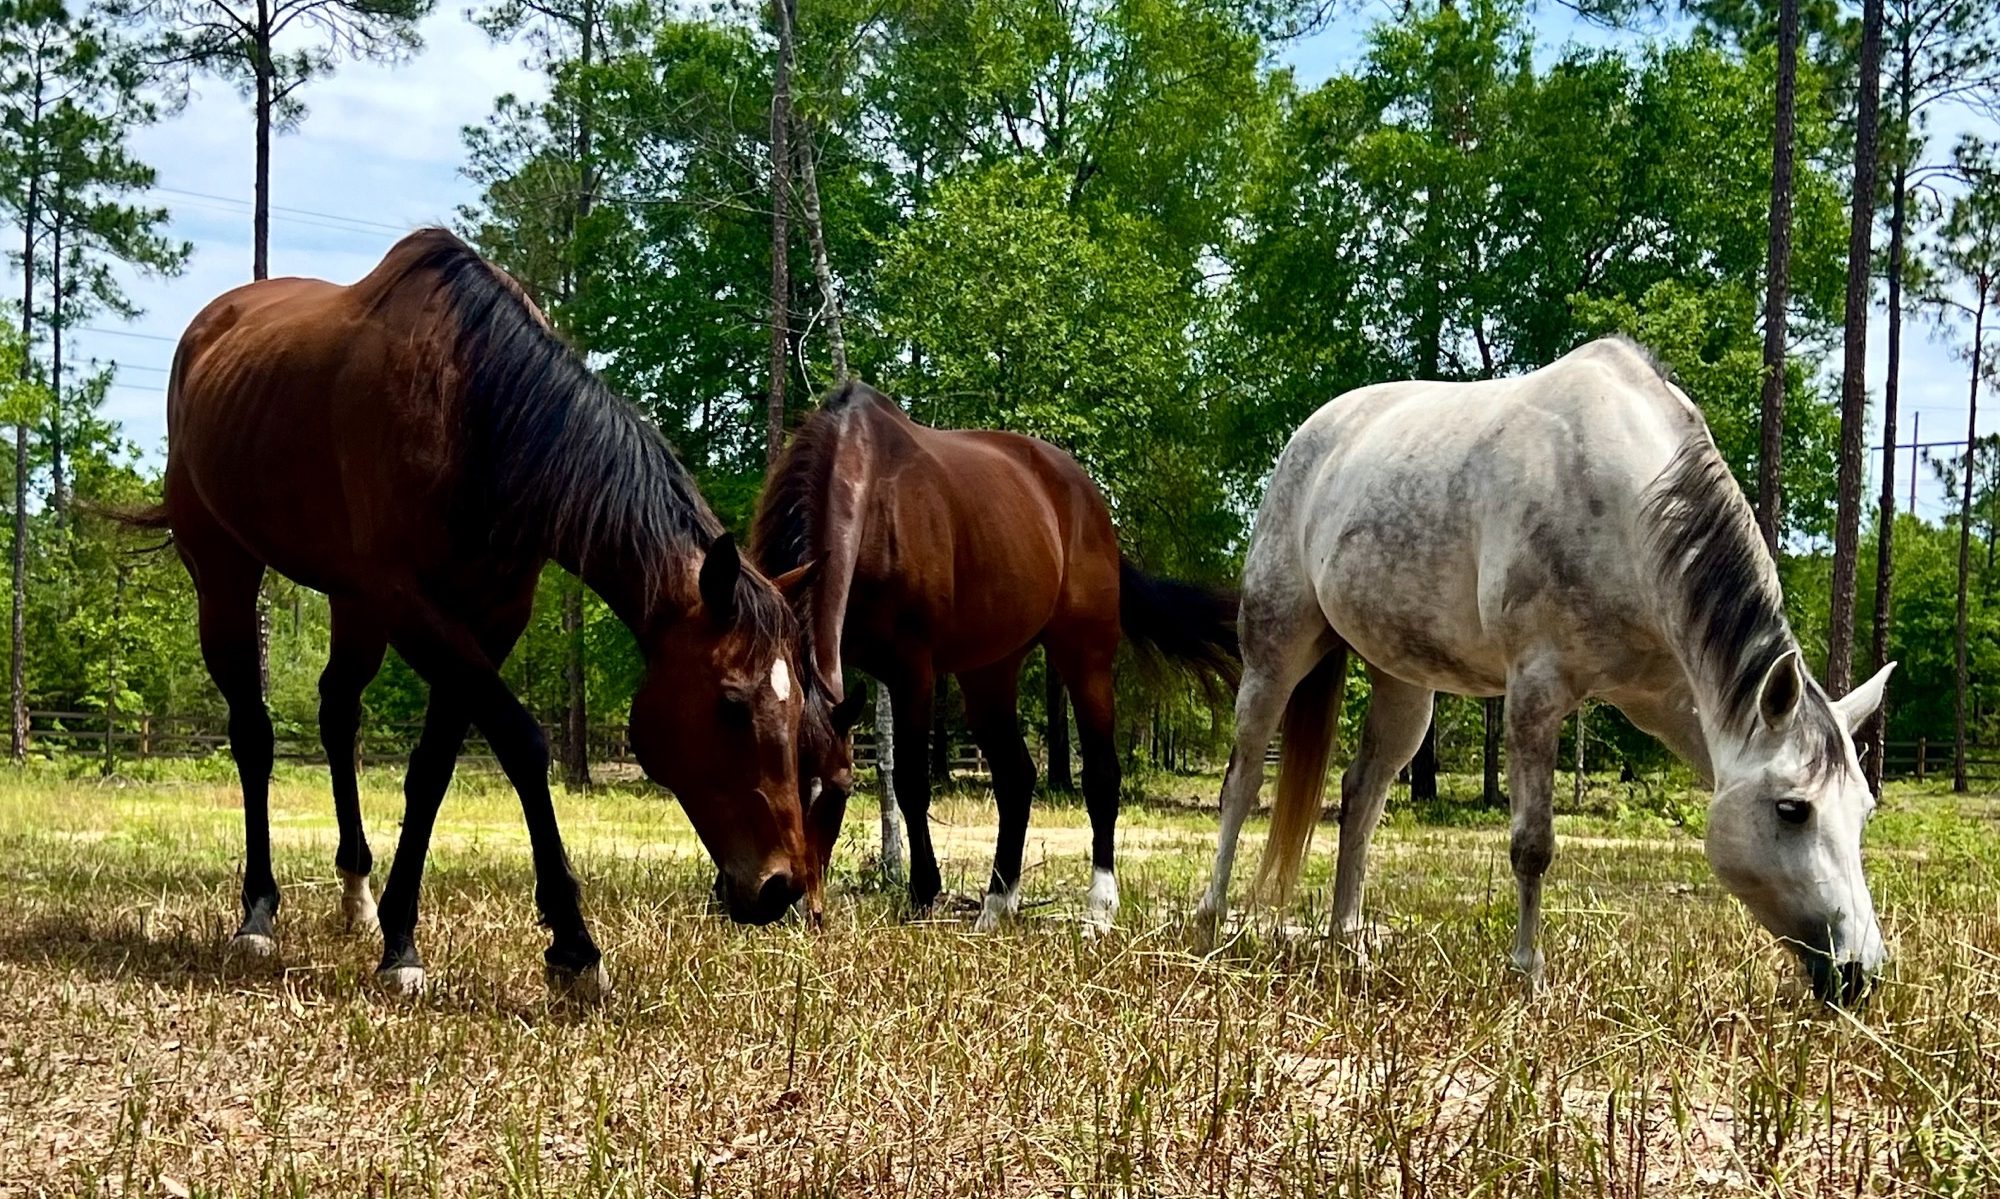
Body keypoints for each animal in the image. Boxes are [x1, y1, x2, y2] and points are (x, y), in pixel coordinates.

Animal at [121, 229, 824, 999]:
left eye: (797, 710)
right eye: (731, 703)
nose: (781, 886)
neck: (476, 413)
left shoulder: (487, 617)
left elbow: (432, 770)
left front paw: (399, 936)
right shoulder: (416, 610)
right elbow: (522, 744)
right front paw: (573, 945)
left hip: (351, 602)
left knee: (337, 713)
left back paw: (354, 894)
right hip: (224, 573)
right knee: (253, 733)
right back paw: (257, 914)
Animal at [756, 381, 1240, 927]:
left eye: (839, 790)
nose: (791, 897)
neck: (873, 490)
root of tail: (1086, 497)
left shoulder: (912, 669)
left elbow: (910, 781)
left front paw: (922, 892)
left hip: (1085, 653)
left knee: (1100, 774)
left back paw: (1099, 906)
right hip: (989, 671)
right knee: (1016, 777)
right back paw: (996, 904)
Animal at [1192, 337, 1896, 1003]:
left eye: (1864, 811)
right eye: (1792, 809)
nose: (1859, 974)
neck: (1623, 502)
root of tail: (1312, 436)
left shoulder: (1670, 698)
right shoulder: (1536, 690)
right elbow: (1533, 845)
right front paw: (1529, 978)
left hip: (1406, 682)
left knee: (1361, 797)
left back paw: (1346, 947)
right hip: (1276, 651)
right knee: (1242, 780)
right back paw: (1210, 927)